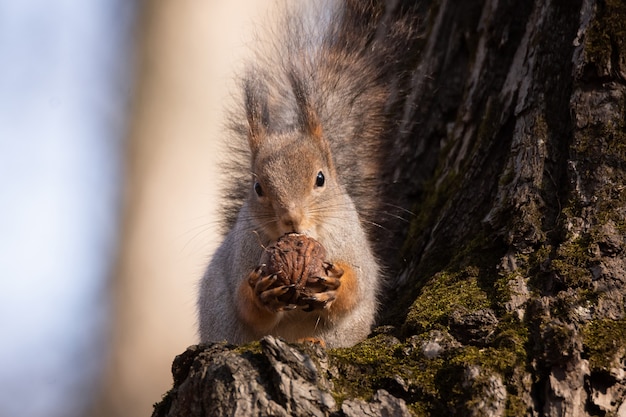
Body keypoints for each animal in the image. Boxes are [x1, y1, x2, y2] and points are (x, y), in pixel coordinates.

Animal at [197, 0, 416, 346]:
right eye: (258, 187)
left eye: (321, 178)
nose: (292, 219)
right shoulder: (242, 255)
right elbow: (246, 305)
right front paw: (261, 294)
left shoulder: (352, 243)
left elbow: (358, 285)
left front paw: (337, 285)